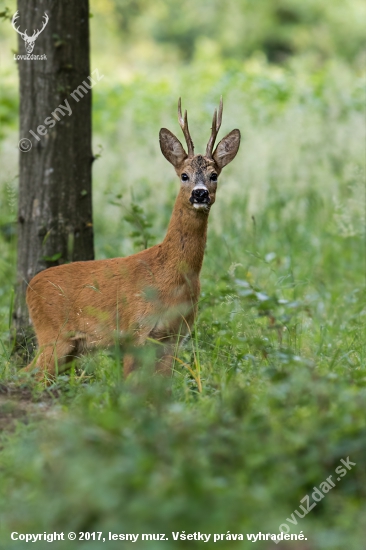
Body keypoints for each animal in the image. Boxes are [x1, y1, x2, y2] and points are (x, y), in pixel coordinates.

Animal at [22, 99, 240, 380]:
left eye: (214, 175)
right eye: (184, 175)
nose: (200, 194)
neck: (172, 276)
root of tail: (30, 287)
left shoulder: (174, 336)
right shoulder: (133, 330)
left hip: (70, 347)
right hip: (53, 336)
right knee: (33, 376)